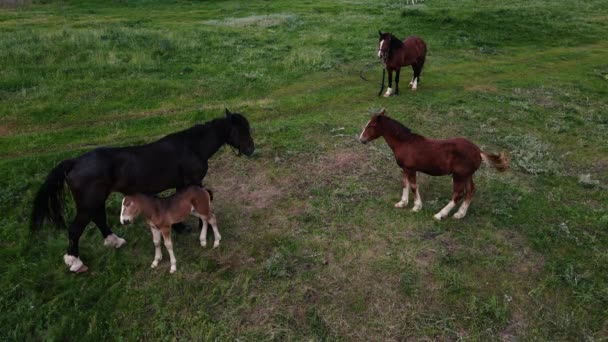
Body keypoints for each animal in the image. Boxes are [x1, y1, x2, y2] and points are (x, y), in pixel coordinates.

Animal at [30, 108, 254, 274]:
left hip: (95, 201)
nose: (251, 150)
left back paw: (115, 242)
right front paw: (201, 234)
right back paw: (75, 262)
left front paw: (181, 228)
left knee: (99, 218)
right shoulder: (193, 181)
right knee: (76, 229)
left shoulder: (182, 185)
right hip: (88, 204)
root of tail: (74, 162)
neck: (192, 146)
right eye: (242, 130)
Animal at [358, 110, 506, 222]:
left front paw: (416, 207)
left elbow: (413, 186)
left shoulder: (411, 168)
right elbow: (405, 184)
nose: (361, 139)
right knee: (470, 191)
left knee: (458, 194)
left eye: (371, 126)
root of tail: (478, 151)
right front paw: (402, 203)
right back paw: (460, 214)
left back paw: (440, 214)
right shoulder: (405, 168)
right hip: (467, 175)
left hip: (459, 175)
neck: (405, 143)